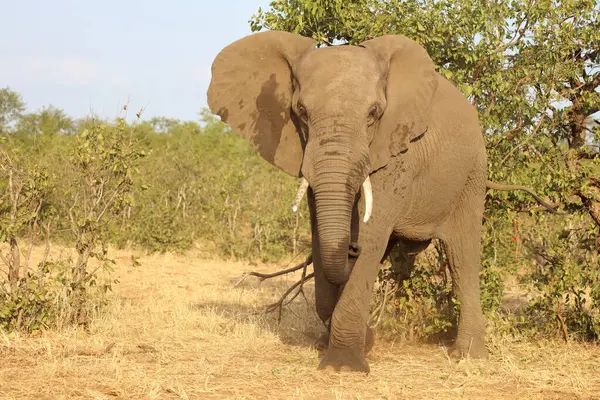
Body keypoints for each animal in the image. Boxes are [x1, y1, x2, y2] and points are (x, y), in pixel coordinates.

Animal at [207, 30, 556, 372]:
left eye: (374, 114)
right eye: (301, 112)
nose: (351, 248)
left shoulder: (397, 152)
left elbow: (372, 234)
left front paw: (343, 367)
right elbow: (322, 236)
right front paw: (357, 343)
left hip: (472, 173)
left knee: (463, 256)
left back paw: (469, 358)